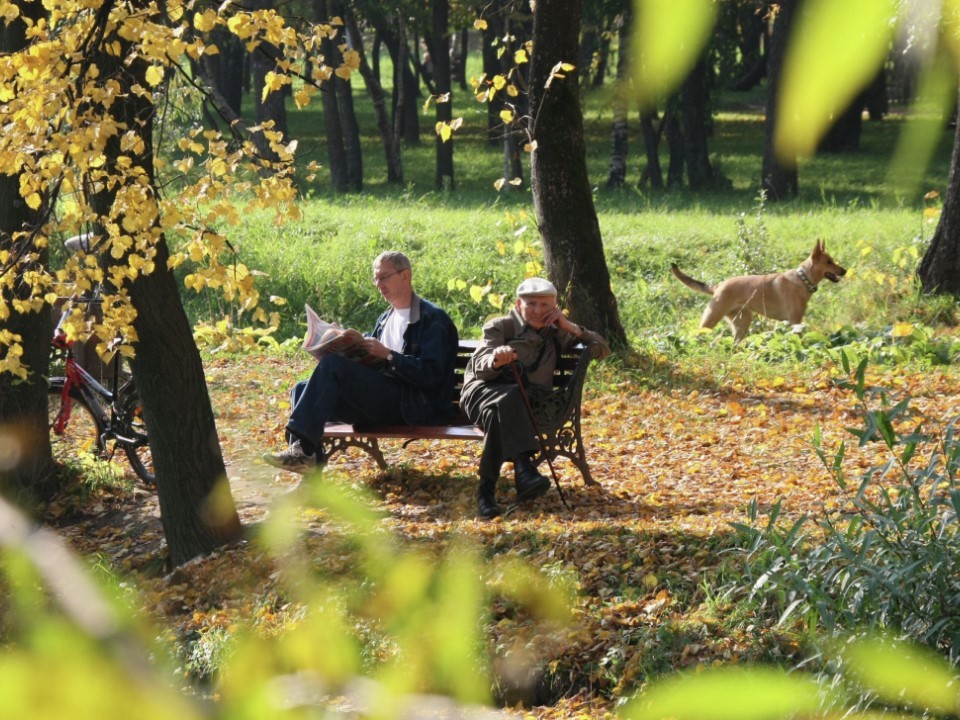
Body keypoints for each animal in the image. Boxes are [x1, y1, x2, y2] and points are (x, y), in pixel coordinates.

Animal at [668, 240, 848, 342]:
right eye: (829, 262)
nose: (845, 271)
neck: (802, 279)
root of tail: (718, 286)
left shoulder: (784, 323)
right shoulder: (794, 321)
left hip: (742, 323)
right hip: (711, 320)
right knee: (696, 335)